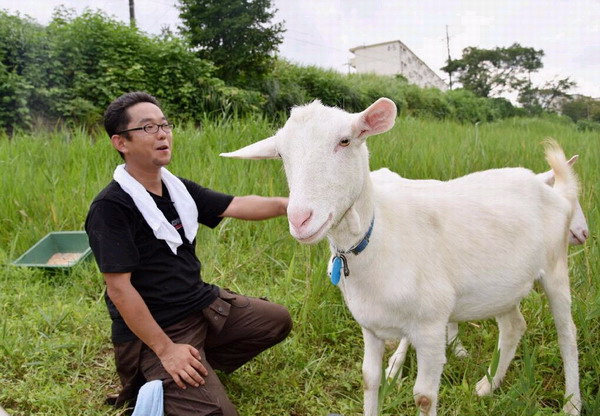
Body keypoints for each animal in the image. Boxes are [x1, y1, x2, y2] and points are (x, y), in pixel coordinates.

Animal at [221, 98, 580, 416]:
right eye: (281, 153)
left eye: (345, 140)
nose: (300, 219)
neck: (377, 238)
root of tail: (547, 186)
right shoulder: (370, 326)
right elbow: (370, 380)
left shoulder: (432, 326)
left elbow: (424, 396)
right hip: (503, 287)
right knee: (513, 326)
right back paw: (486, 387)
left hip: (555, 267)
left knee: (567, 334)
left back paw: (572, 404)